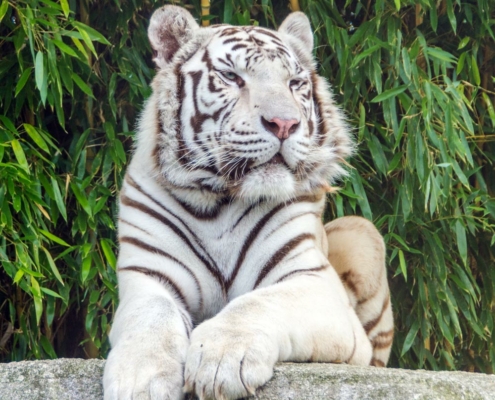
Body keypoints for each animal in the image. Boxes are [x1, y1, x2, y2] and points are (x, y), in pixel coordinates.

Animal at [104, 4, 396, 398]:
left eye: (295, 83)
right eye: (231, 76)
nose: (284, 124)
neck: (218, 200)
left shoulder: (312, 279)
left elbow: (258, 304)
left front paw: (221, 360)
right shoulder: (149, 275)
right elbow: (151, 317)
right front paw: (140, 380)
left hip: (361, 230)